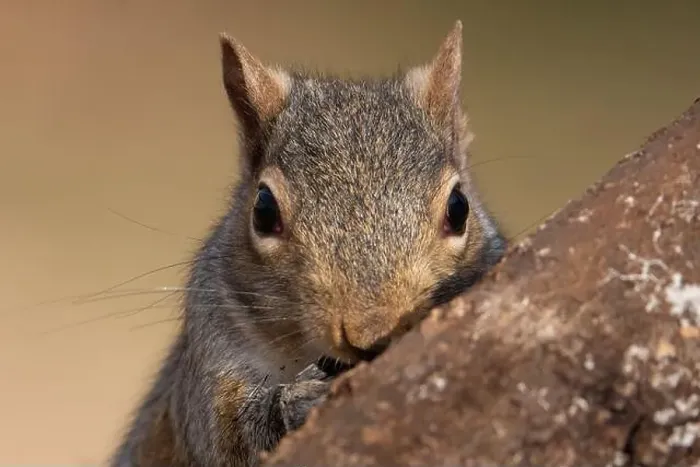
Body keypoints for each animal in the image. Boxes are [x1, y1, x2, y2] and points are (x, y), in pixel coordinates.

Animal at [109, 20, 506, 467]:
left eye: (458, 207)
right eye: (263, 210)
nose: (371, 335)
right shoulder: (211, 356)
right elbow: (228, 439)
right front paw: (298, 400)